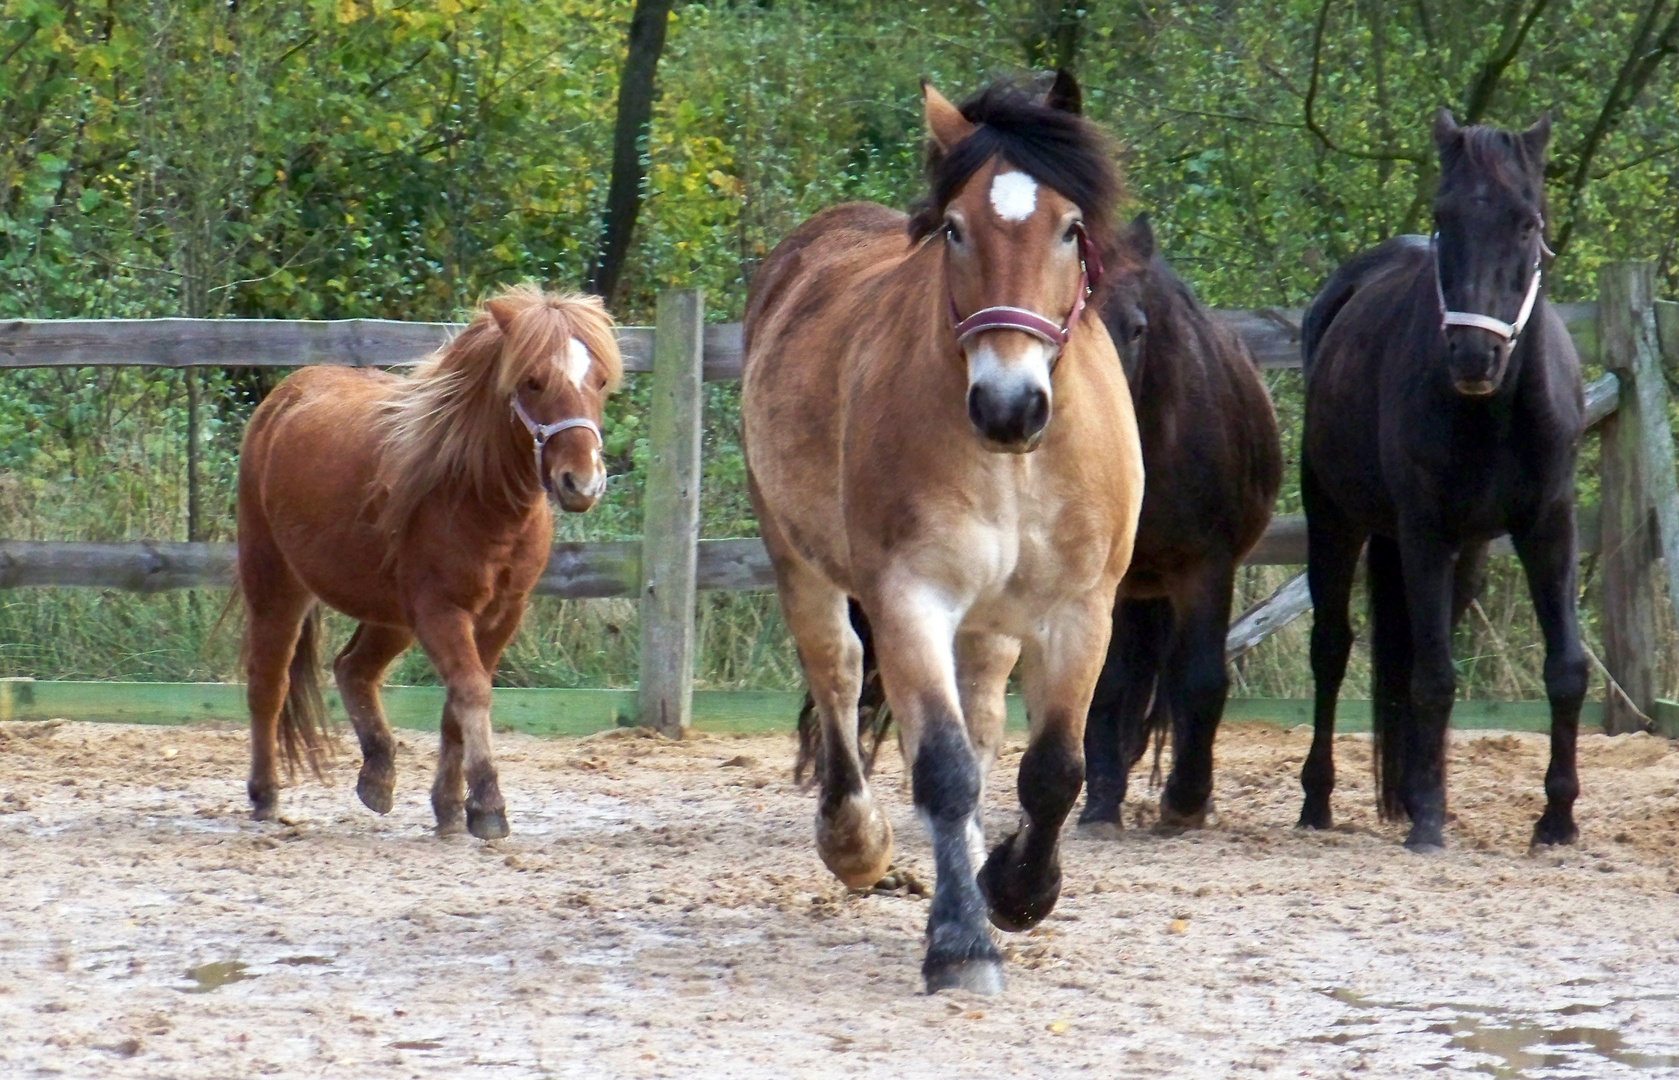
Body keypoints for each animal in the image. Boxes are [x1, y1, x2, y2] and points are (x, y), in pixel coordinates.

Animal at [236, 288, 624, 846]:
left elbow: (455, 708)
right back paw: (266, 795)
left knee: (353, 669)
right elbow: (472, 692)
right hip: (275, 585)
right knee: (268, 684)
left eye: (599, 381)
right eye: (532, 380)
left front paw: (451, 806)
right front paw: (488, 804)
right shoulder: (443, 612)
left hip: (391, 614)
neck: (477, 496)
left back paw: (378, 775)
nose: (583, 482)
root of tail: (282, 397)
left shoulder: (501, 615)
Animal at [745, 71, 1148, 994]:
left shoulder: (1081, 611)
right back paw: (857, 843)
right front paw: (961, 942)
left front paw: (1017, 889)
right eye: (955, 229)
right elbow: (942, 766)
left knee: (984, 719)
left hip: (991, 625)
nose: (1008, 405)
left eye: (1070, 228)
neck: (1015, 462)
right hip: (801, 563)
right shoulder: (909, 599)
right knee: (837, 673)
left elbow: (1051, 772)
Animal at [792, 213, 1276, 836]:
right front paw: (1102, 801)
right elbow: (1106, 691)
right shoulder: (1100, 587)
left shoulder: (1203, 568)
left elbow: (1199, 679)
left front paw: (1187, 799)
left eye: (1138, 327)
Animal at [1289, 111, 1578, 853]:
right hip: (1335, 520)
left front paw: (1558, 817)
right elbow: (1434, 676)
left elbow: (1564, 670)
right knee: (1331, 650)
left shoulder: (1548, 529)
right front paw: (1423, 818)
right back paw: (1320, 798)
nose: (1474, 356)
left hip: (1466, 551)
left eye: (1526, 223)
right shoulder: (1422, 533)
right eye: (1445, 218)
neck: (1495, 411)